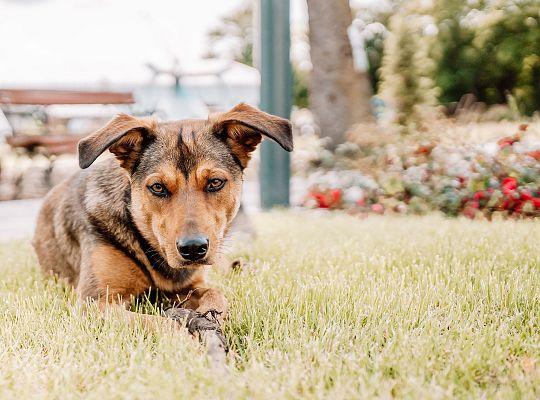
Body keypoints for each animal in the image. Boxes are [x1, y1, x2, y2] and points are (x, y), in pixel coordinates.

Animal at [32, 103, 294, 356]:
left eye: (215, 182)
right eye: (157, 187)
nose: (193, 249)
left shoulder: (187, 286)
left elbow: (215, 293)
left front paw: (213, 318)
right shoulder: (94, 303)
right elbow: (160, 323)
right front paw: (192, 345)